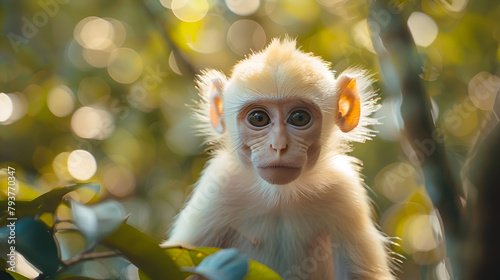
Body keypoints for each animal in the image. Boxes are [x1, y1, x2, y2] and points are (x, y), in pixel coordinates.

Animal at [166, 37, 396, 280]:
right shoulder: (217, 189)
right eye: (258, 118)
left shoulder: (344, 191)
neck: (280, 198)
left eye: (299, 117)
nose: (278, 146)